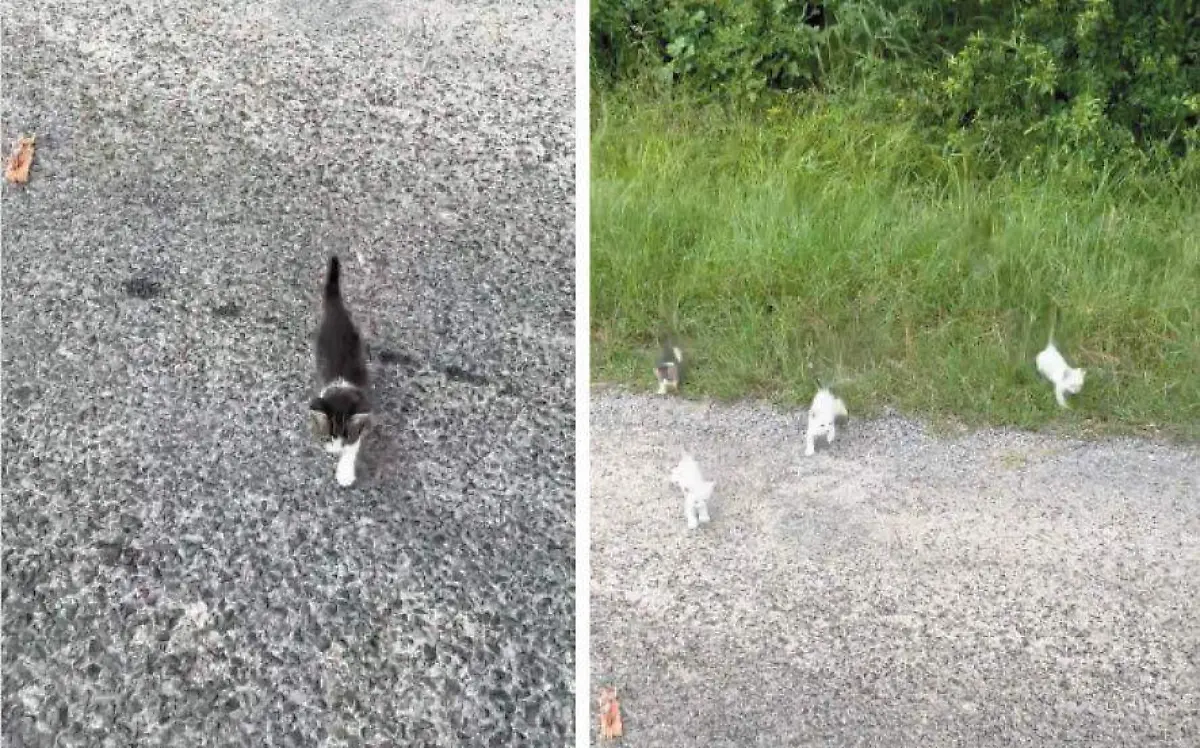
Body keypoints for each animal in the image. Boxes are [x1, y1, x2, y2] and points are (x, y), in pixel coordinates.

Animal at [309, 256, 369, 489]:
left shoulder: (361, 417)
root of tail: (335, 308)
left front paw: (344, 472)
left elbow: (354, 445)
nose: (337, 447)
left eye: (345, 436)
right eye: (331, 435)